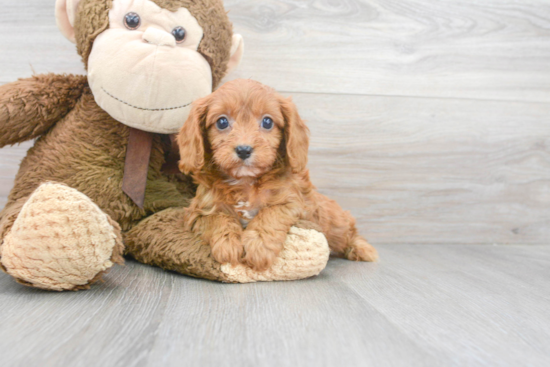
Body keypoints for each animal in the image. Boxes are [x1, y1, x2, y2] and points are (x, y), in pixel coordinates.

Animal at [178, 79, 380, 272]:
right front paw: (228, 243)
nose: (244, 150)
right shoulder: (199, 210)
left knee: (348, 232)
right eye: (222, 122)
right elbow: (217, 218)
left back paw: (362, 249)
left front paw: (258, 246)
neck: (246, 182)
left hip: (335, 223)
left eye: (267, 122)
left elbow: (271, 213)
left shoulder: (292, 202)